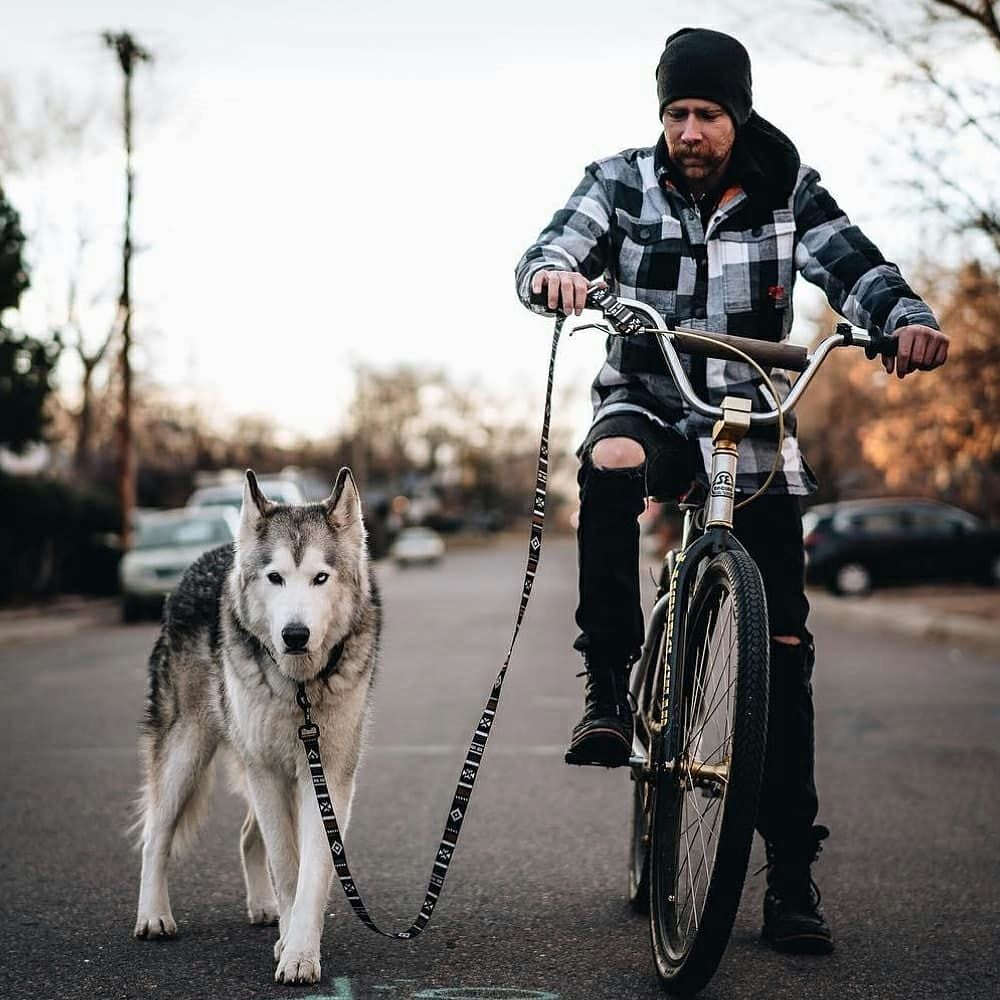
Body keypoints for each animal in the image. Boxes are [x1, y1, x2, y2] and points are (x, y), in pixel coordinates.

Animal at [133, 468, 380, 984]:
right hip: (188, 751)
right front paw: (291, 945)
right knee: (156, 835)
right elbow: (287, 866)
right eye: (275, 577)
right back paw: (154, 916)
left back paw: (264, 909)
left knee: (248, 835)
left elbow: (312, 872)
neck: (300, 688)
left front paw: (299, 950)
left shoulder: (328, 776)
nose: (295, 635)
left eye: (320, 577)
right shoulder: (266, 770)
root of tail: (210, 554)